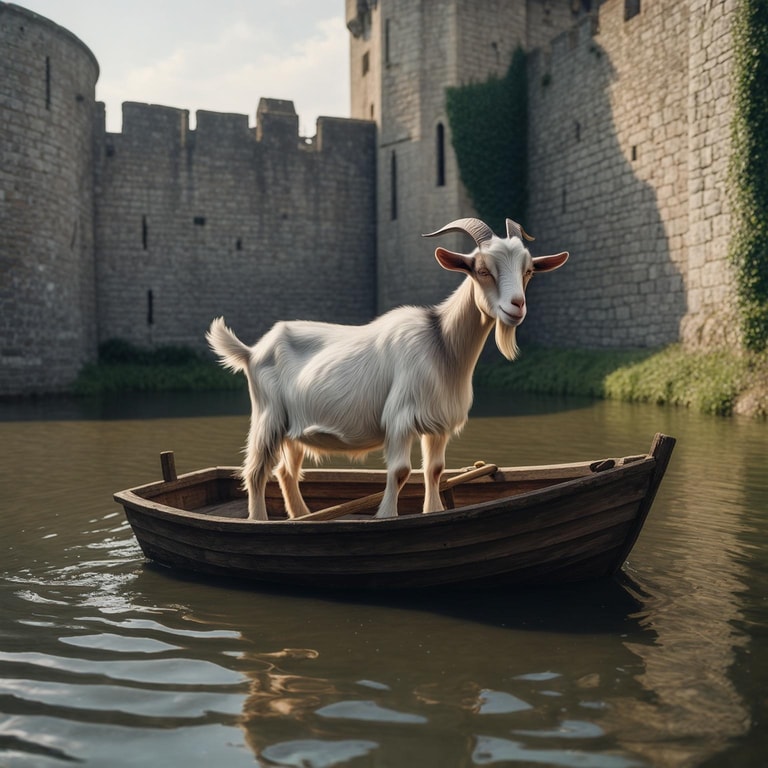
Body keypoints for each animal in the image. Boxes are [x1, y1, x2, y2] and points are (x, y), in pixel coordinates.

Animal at [206, 217, 568, 521]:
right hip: (267, 417)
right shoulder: (400, 417)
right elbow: (400, 471)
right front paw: (386, 516)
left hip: (292, 427)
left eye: (528, 271)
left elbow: (435, 470)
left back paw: (301, 517)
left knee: (286, 471)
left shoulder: (438, 423)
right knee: (256, 471)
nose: (516, 306)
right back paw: (258, 520)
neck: (443, 346)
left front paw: (432, 511)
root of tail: (252, 351)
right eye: (481, 269)